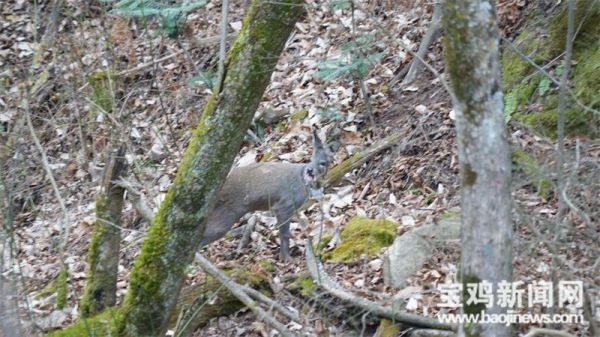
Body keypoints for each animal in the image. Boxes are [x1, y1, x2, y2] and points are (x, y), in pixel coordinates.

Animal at [200, 127, 338, 262]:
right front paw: (287, 259)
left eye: (323, 162)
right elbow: (284, 234)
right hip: (225, 216)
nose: (309, 170)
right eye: (311, 159)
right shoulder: (285, 204)